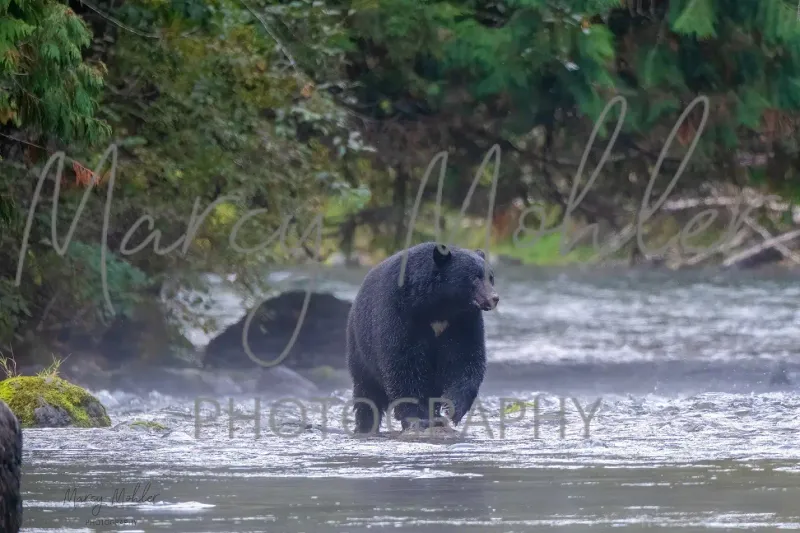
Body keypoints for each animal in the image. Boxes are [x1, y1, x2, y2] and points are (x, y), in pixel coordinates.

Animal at [346, 241, 500, 432]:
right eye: (475, 278)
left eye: (491, 277)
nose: (494, 298)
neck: (437, 306)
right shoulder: (399, 311)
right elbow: (403, 361)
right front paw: (418, 417)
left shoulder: (463, 321)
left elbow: (465, 358)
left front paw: (452, 408)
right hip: (360, 349)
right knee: (367, 391)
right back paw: (365, 425)